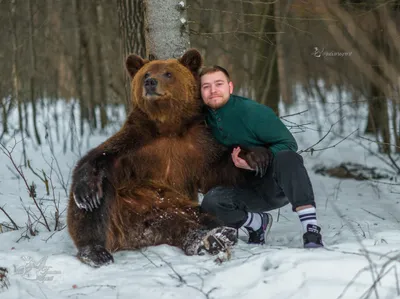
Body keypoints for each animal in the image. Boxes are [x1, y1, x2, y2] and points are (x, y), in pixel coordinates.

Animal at [67, 49, 270, 270]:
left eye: (168, 73)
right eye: (146, 74)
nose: (150, 83)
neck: (168, 126)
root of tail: (138, 236)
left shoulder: (200, 147)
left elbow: (220, 170)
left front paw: (255, 158)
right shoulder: (136, 144)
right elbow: (101, 157)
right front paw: (87, 191)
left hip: (178, 207)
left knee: (198, 218)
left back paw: (216, 235)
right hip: (125, 214)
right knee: (100, 199)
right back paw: (95, 250)